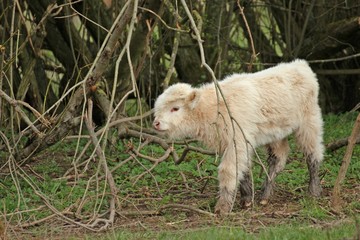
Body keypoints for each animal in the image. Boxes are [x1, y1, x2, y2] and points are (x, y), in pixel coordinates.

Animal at [152, 59, 324, 215]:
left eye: (175, 108)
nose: (156, 123)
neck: (211, 108)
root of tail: (300, 64)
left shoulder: (237, 141)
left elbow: (228, 171)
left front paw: (223, 208)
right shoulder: (236, 143)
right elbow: (244, 169)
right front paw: (246, 200)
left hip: (309, 123)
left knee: (313, 155)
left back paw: (313, 192)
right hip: (276, 134)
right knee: (278, 159)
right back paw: (265, 196)